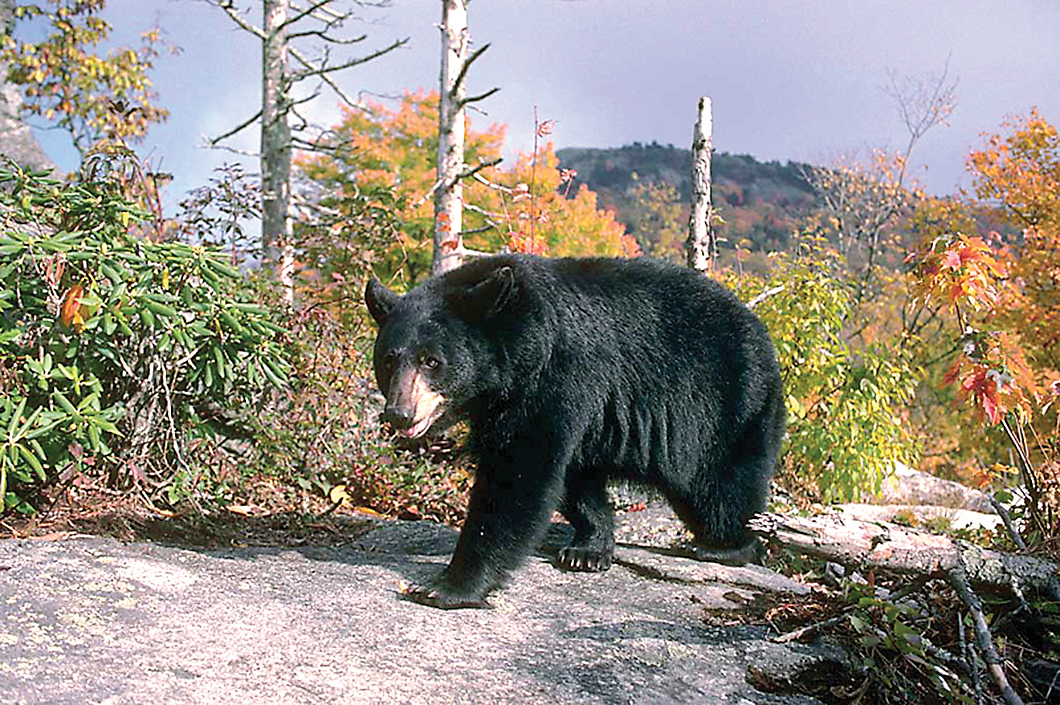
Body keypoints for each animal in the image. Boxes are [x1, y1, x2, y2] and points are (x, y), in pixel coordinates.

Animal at [366, 255, 788, 606]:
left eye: (431, 361)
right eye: (388, 360)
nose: (400, 413)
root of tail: (762, 333)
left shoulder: (555, 375)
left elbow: (520, 471)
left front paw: (449, 585)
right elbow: (570, 473)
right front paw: (589, 547)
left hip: (731, 402)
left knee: (722, 484)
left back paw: (726, 545)